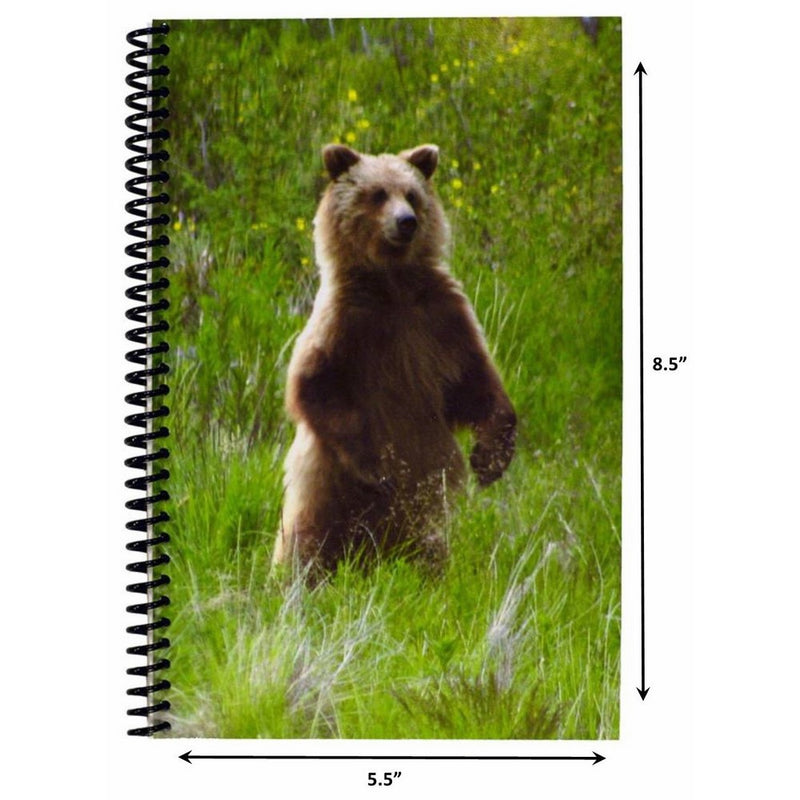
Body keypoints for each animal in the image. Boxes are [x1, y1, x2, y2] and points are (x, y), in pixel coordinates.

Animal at [272, 143, 516, 578]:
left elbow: (475, 382)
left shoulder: (440, 317)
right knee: (304, 545)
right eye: (377, 194)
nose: (407, 222)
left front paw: (490, 459)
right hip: (321, 498)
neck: (392, 284)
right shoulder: (346, 323)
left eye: (412, 194)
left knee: (429, 547)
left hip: (423, 518)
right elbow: (313, 385)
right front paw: (377, 467)